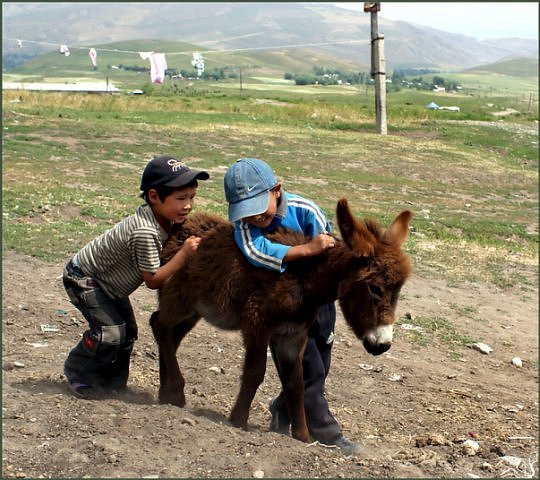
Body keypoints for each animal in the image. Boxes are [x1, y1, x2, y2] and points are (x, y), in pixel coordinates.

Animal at [150, 199, 412, 442]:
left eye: (398, 291)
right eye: (375, 289)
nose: (382, 345)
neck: (305, 278)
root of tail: (179, 229)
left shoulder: (292, 335)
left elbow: (296, 382)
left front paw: (303, 436)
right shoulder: (258, 323)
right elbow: (255, 372)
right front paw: (238, 421)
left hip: (194, 311)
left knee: (170, 335)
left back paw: (166, 393)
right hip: (179, 300)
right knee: (159, 325)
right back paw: (176, 392)